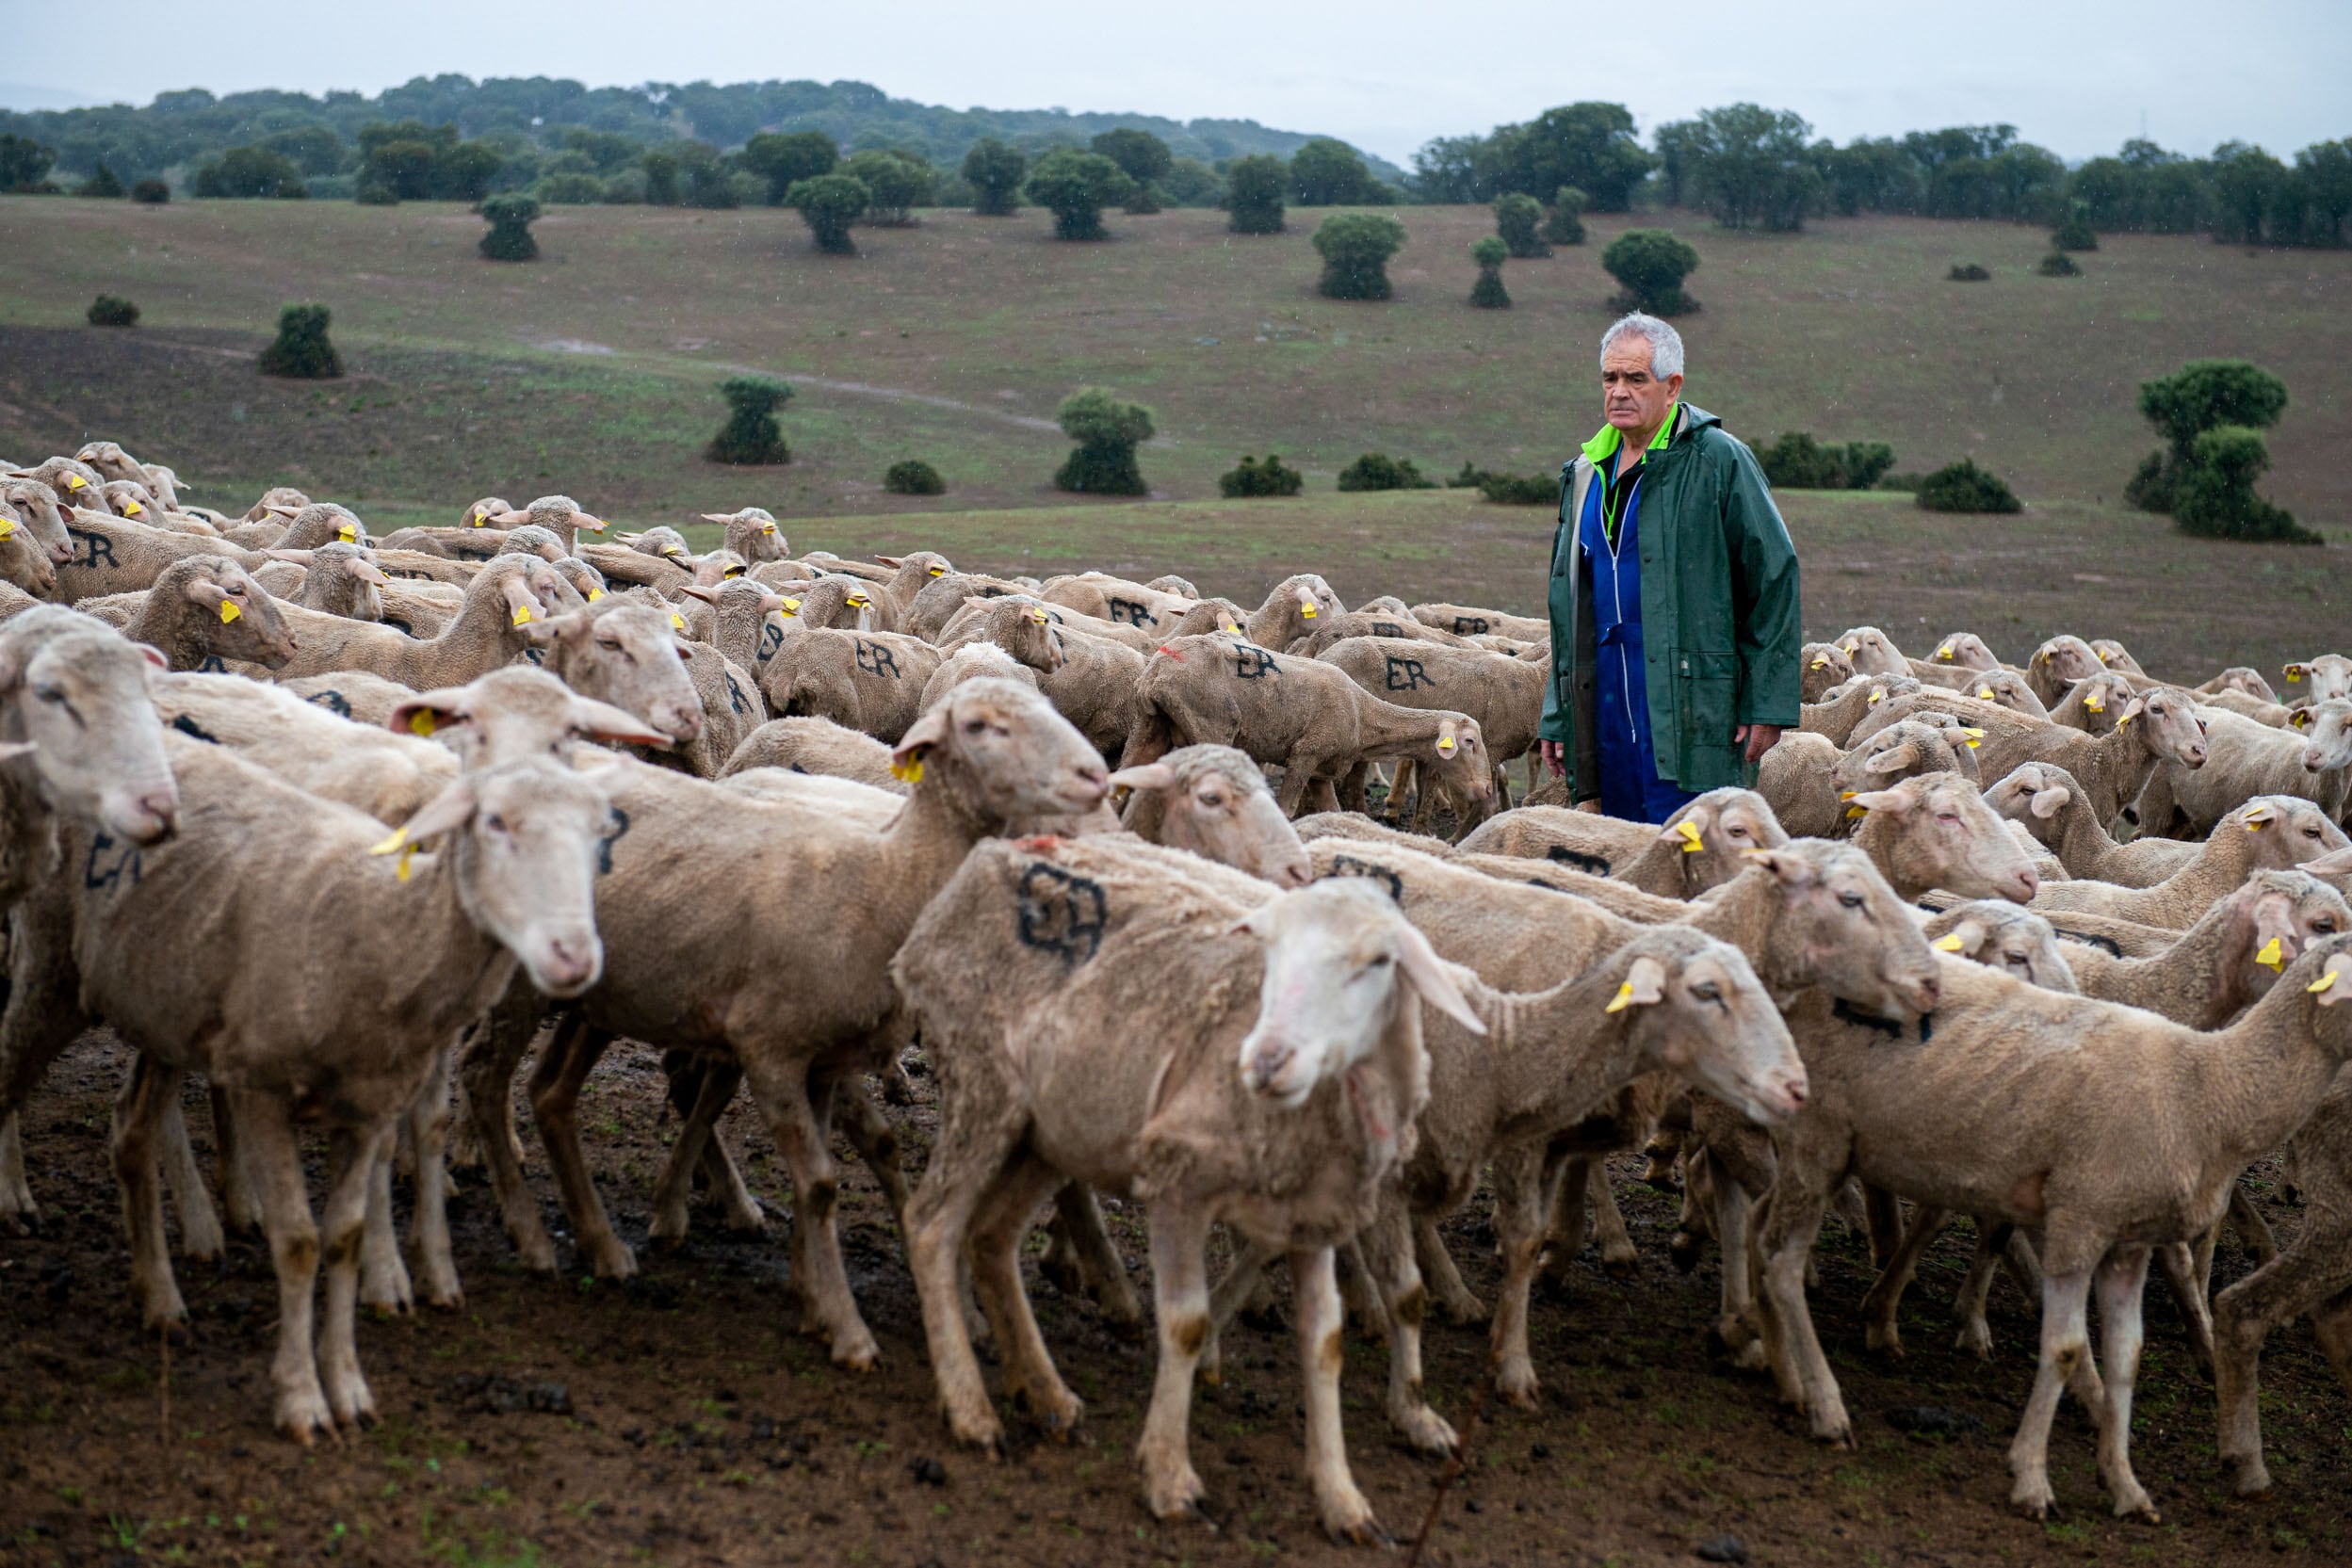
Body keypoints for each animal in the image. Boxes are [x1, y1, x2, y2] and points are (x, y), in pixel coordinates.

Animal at [0, 737, 616, 1447]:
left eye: (597, 834)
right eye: (494, 822)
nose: (573, 956)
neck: (387, 928)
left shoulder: (370, 1110)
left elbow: (344, 1238)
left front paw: (348, 1388)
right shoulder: (260, 1089)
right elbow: (298, 1243)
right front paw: (301, 1400)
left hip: (163, 1008)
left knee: (130, 1130)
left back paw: (158, 1297)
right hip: (51, 965)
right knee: (7, 1074)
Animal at [1119, 629, 1486, 817]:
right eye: (1469, 742)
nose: (1484, 790)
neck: (1364, 715)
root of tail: (1159, 671)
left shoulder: (1322, 771)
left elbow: (1332, 811)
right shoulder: (1305, 754)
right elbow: (1287, 807)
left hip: (1148, 726)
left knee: (1123, 781)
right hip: (1210, 726)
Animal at [1759, 930, 2352, 1523]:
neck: (2209, 1086)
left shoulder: (2128, 1242)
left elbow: (2126, 1355)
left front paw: (2125, 1486)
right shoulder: (2078, 1221)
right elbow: (2065, 1348)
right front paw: (2030, 1479)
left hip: (1819, 1146)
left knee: (1757, 1229)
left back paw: (1778, 1371)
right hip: (1817, 1136)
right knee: (1782, 1264)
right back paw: (1826, 1407)